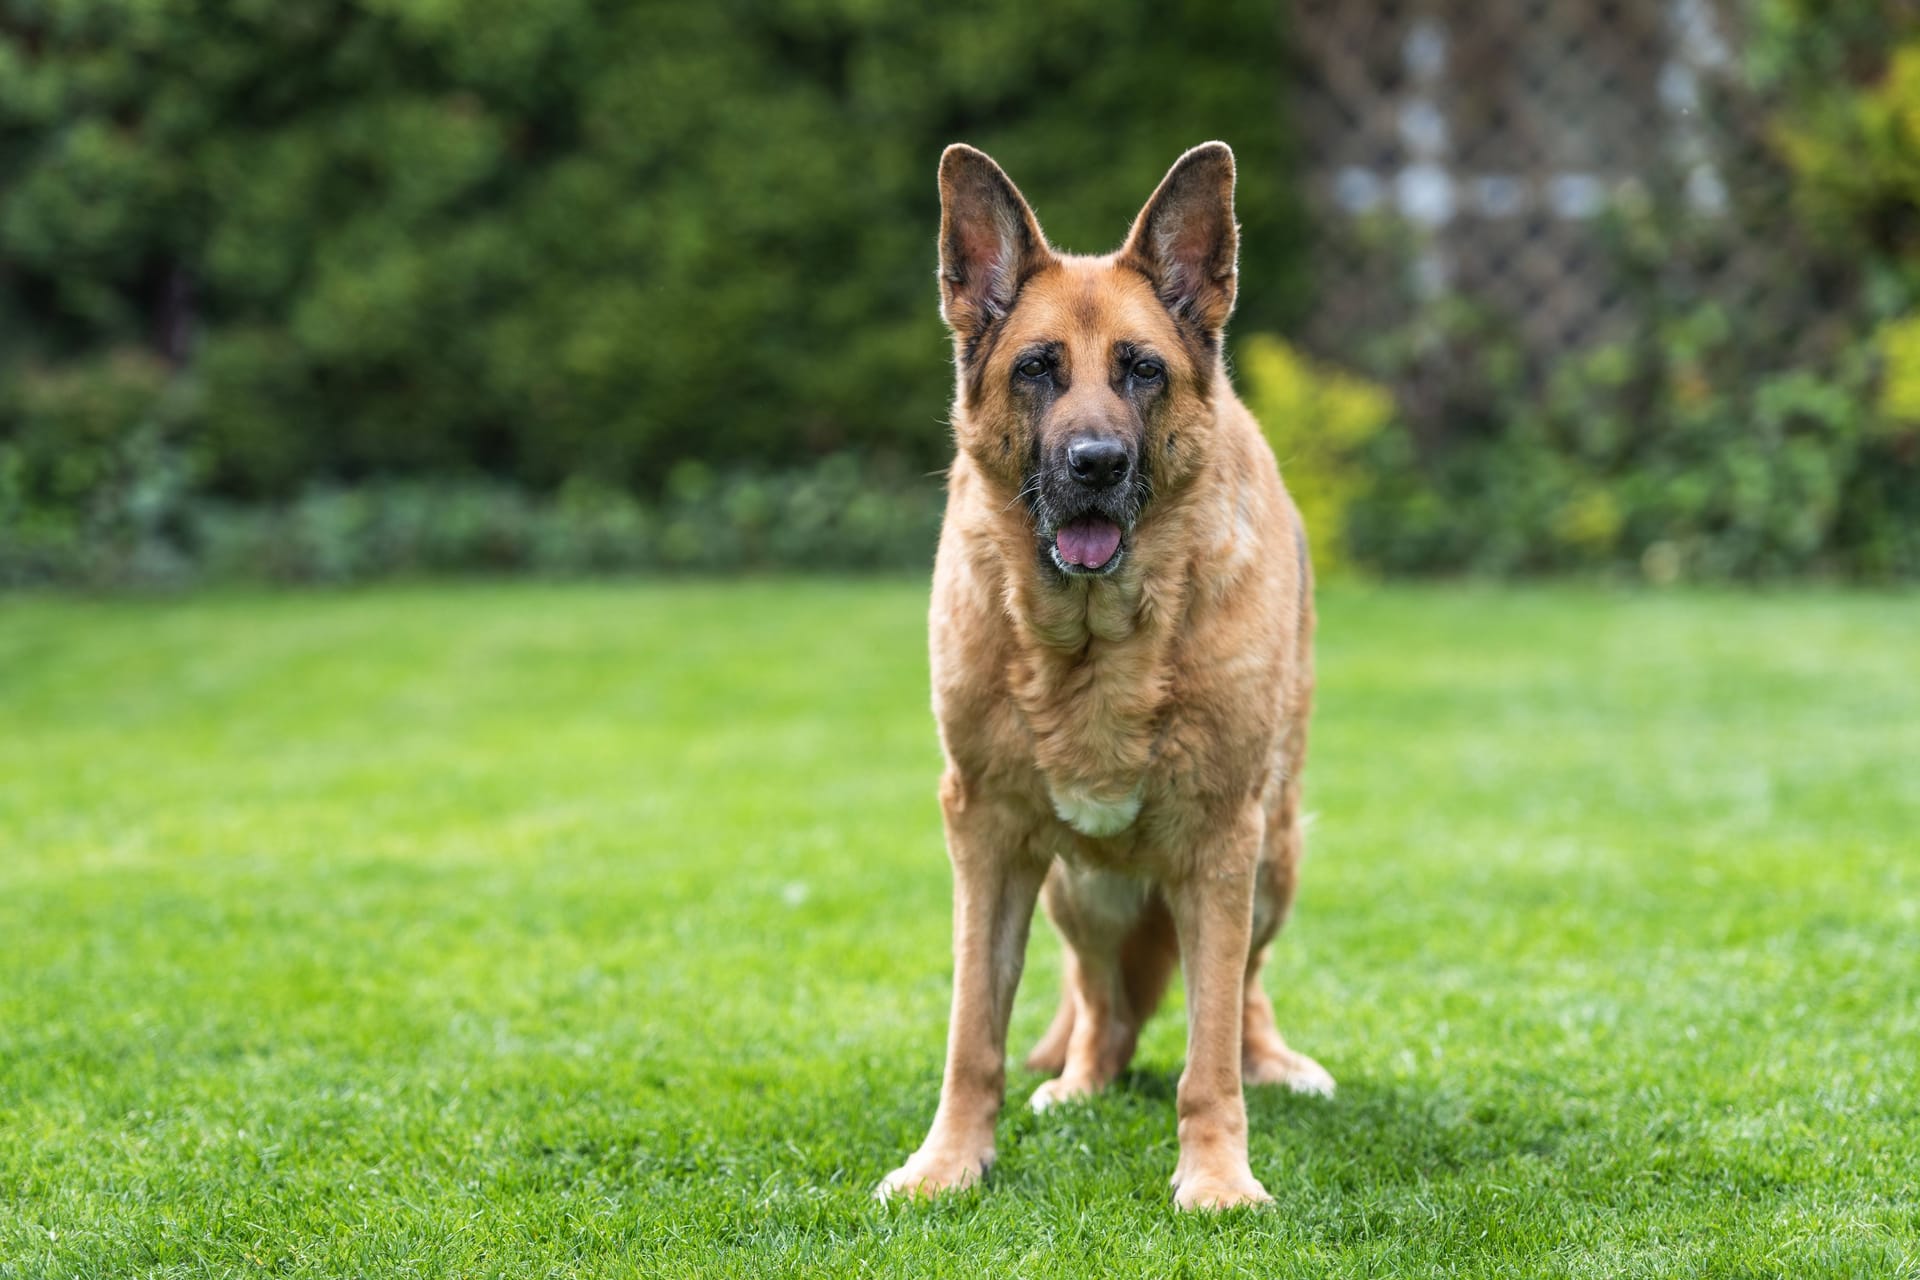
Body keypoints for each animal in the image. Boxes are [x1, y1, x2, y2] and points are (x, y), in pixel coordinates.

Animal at [879, 142, 1328, 1212]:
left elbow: (1208, 1053)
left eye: (1143, 370)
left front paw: (1217, 1176)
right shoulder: (987, 836)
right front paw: (950, 1161)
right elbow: (974, 1032)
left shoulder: (1224, 842)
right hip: (1076, 892)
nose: (1095, 463)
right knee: (1102, 1011)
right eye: (1039, 369)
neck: (1094, 646)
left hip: (1276, 857)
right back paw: (1080, 1084)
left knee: (1240, 996)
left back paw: (1276, 1064)